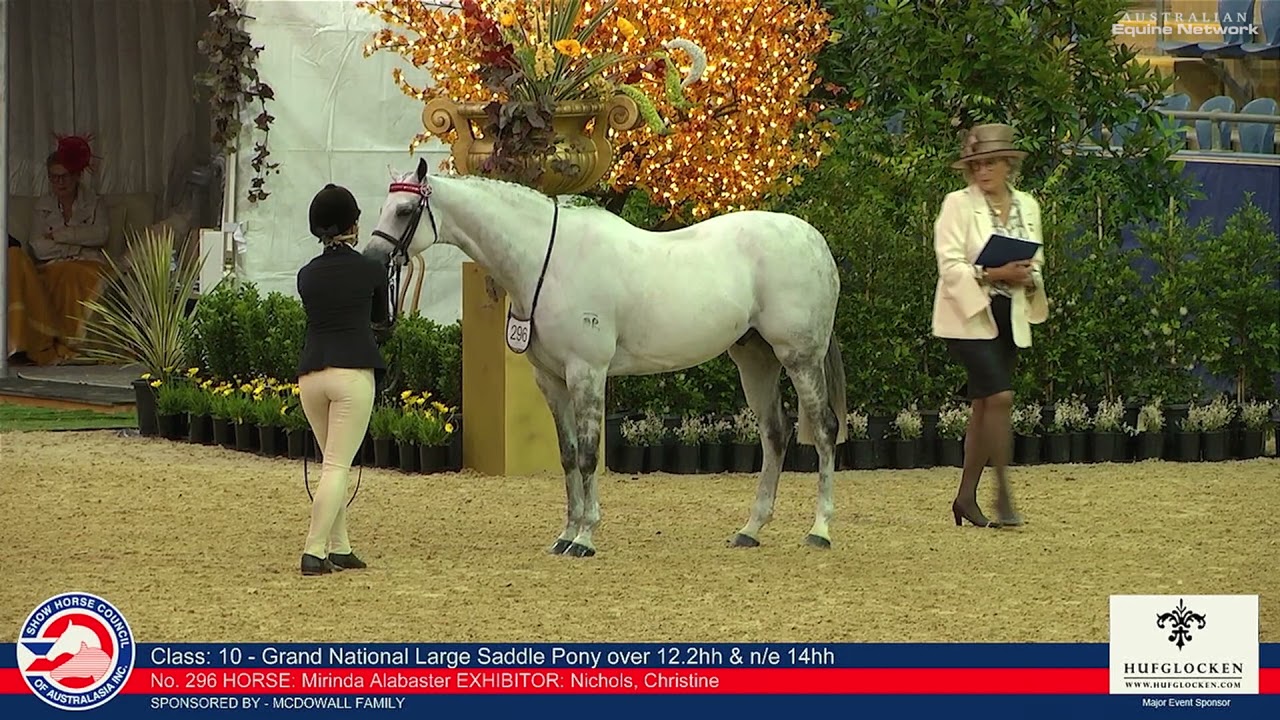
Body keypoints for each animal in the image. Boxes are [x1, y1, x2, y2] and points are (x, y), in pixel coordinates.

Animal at [364, 158, 848, 557]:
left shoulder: (587, 372)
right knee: (775, 434)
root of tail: (813, 240)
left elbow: (588, 454)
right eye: (384, 207)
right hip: (755, 359)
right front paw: (565, 534)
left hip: (799, 357)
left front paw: (584, 537)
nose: (372, 257)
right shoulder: (551, 380)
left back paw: (820, 530)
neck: (547, 260)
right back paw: (751, 529)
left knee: (824, 430)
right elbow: (566, 455)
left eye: (404, 211)